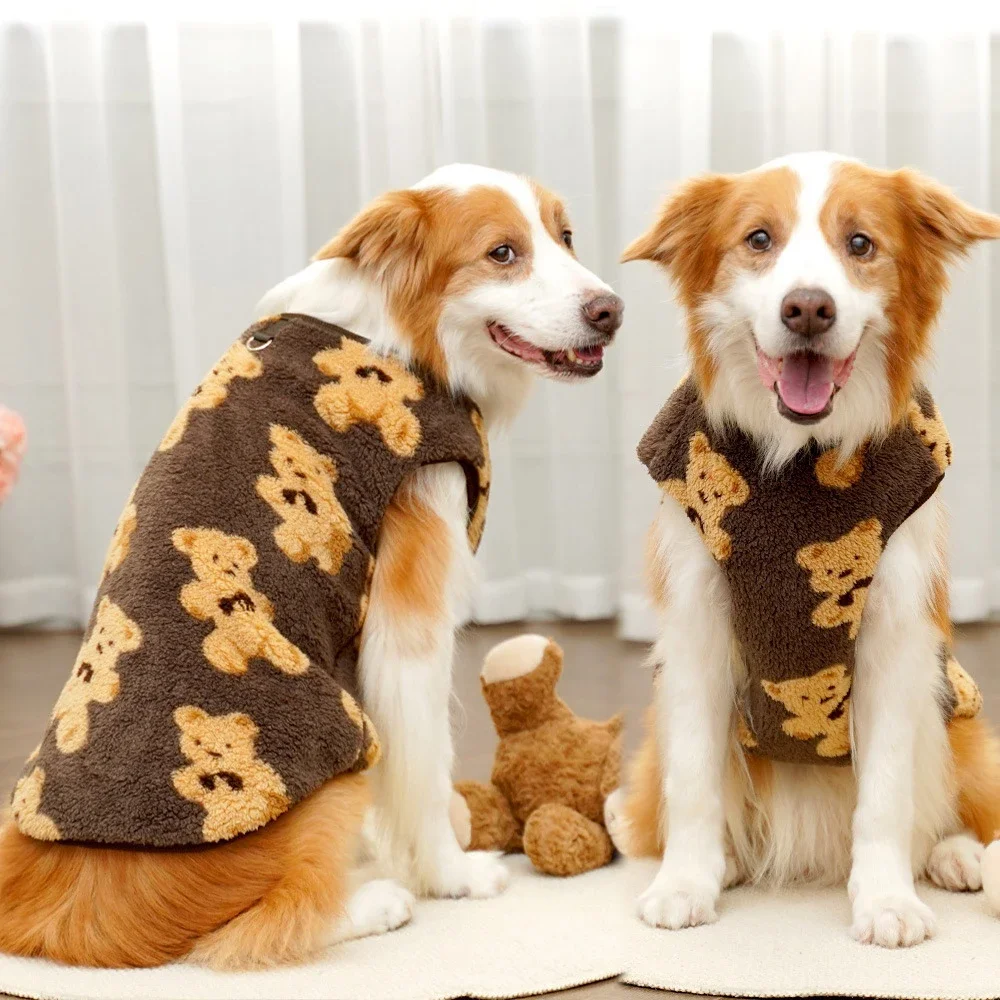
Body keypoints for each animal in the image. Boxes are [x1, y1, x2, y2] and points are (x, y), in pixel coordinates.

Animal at [172, 527, 309, 676]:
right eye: (215, 557)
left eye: (236, 564)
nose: (229, 571)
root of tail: (254, 652)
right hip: (225, 641)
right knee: (220, 649)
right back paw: (234, 665)